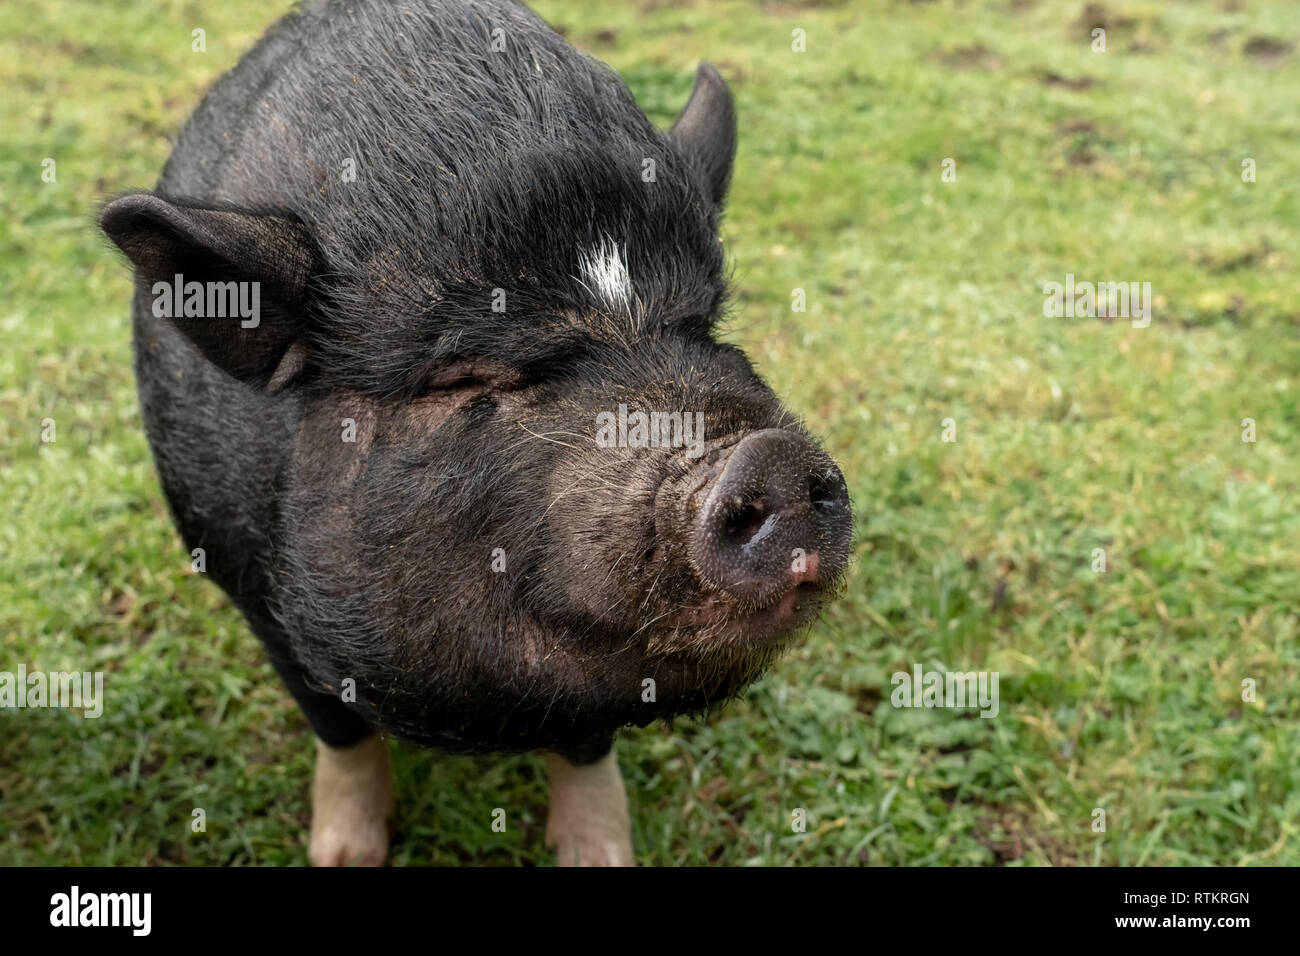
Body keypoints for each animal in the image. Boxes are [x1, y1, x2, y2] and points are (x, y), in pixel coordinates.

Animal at [101, 0, 852, 868]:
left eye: (704, 329)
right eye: (460, 378)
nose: (771, 457)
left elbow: (588, 742)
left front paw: (599, 854)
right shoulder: (248, 585)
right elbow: (340, 732)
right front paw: (345, 856)